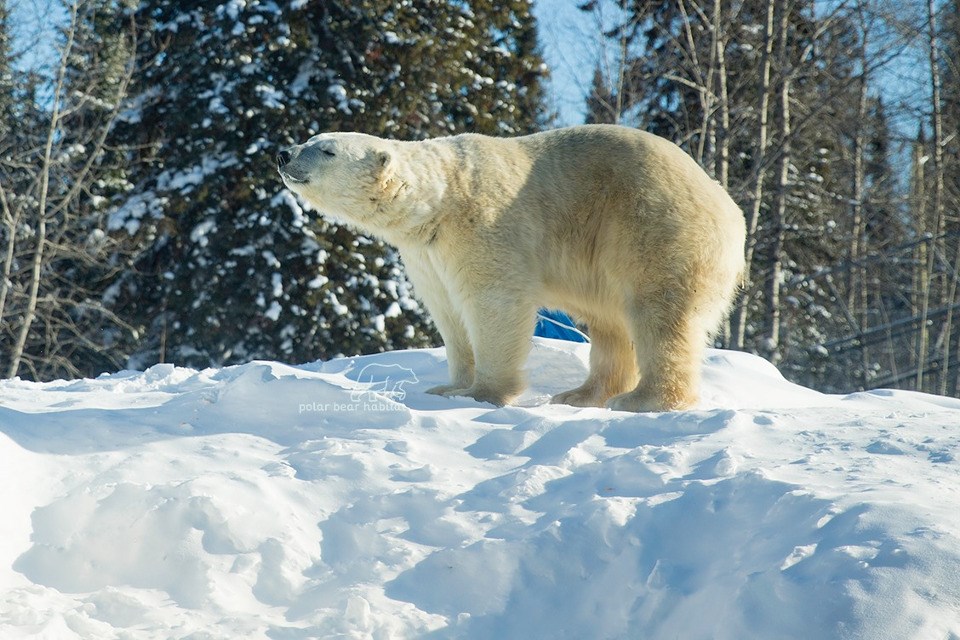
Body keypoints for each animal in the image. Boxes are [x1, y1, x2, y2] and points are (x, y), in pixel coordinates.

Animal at [274, 126, 748, 410]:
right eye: (311, 137)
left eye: (327, 149)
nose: (283, 153)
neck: (439, 200)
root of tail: (728, 206)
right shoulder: (427, 255)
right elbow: (449, 314)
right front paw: (449, 387)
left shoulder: (485, 227)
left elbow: (493, 302)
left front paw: (485, 394)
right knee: (609, 324)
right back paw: (580, 394)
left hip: (654, 226)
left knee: (660, 314)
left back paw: (645, 399)